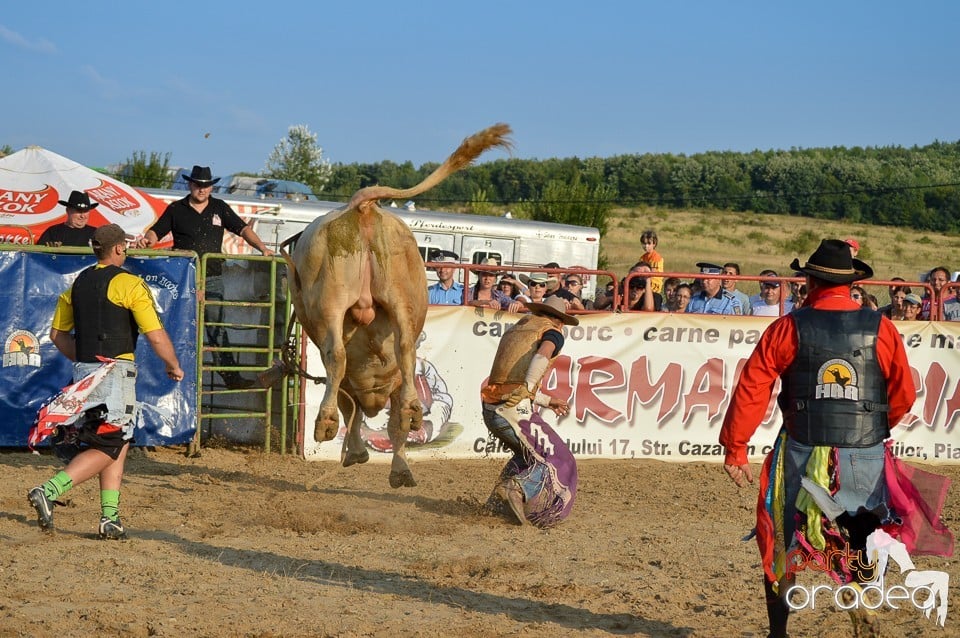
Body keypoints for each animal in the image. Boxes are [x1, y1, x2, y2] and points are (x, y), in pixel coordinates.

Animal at [282, 124, 512, 490]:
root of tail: (361, 207)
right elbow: (393, 426)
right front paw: (400, 466)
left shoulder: (351, 388)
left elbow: (356, 413)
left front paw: (357, 451)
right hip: (401, 295)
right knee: (405, 348)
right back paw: (411, 410)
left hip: (330, 301)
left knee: (337, 356)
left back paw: (326, 422)